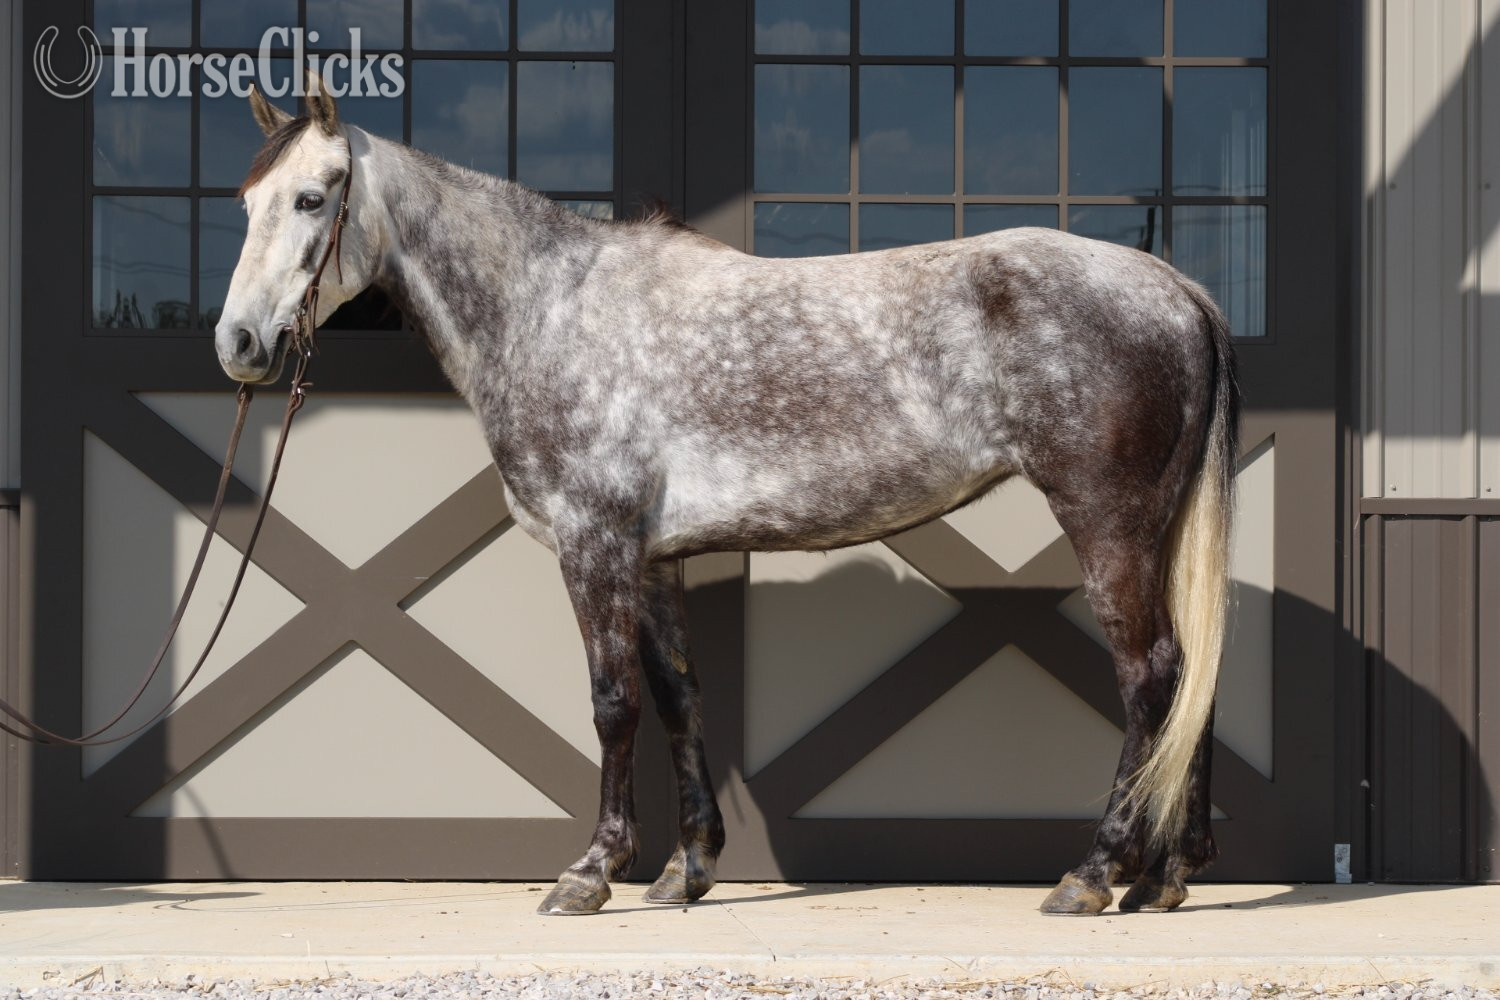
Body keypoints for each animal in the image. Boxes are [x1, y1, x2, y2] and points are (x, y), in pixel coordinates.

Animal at [216, 78, 1238, 917]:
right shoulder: (654, 557)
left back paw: (1094, 874)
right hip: (1156, 530)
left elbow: (612, 702)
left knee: (1150, 675)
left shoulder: (595, 545)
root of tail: (1175, 287)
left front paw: (591, 874)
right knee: (1191, 669)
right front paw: (685, 869)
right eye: (246, 201)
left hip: (1108, 525)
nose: (238, 343)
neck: (551, 307)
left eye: (312, 198)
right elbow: (677, 697)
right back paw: (1163, 879)